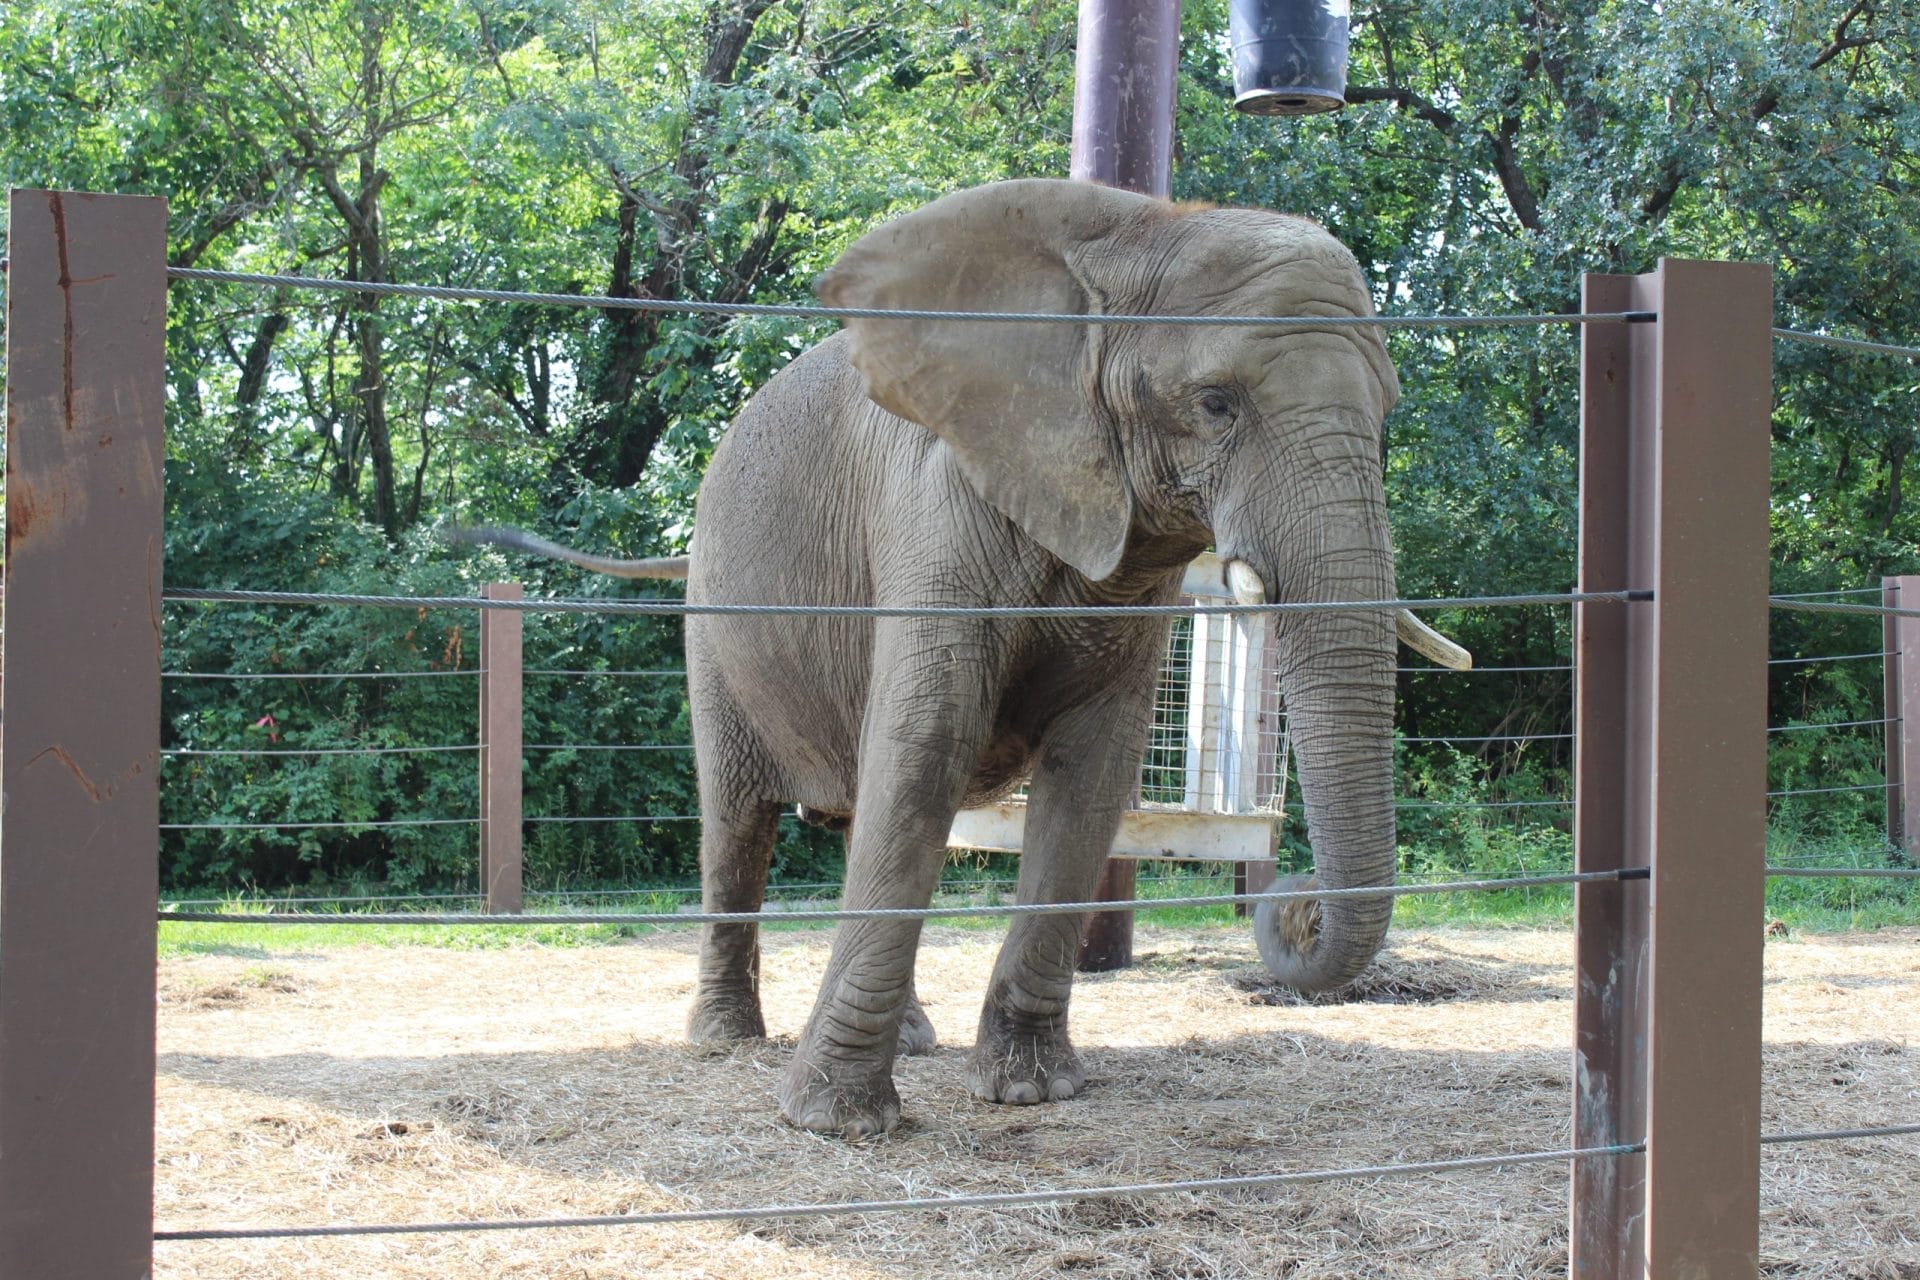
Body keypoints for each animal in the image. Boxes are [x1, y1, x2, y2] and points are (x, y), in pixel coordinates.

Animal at [455, 178, 1468, 1139]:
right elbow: (927, 749)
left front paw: (1031, 1092)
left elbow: (1090, 780)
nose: (1295, 900)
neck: (1139, 231)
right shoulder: (937, 507)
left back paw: (912, 1037)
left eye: (1388, 410)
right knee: (740, 820)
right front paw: (836, 1123)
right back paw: (724, 1040)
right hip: (715, 626)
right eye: (1216, 404)